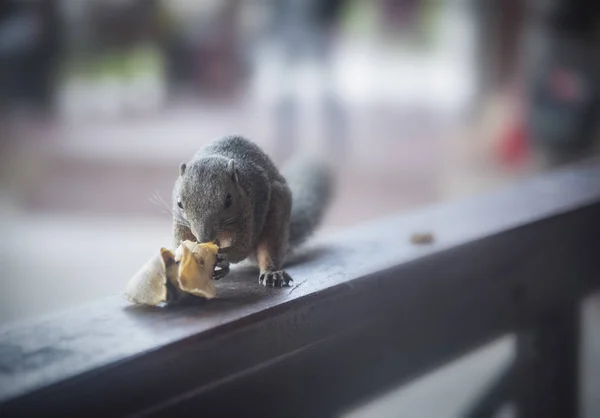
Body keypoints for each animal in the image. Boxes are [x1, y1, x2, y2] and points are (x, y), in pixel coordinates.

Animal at [172, 136, 332, 286]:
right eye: (179, 203)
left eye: (228, 200)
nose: (204, 238)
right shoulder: (181, 223)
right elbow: (179, 242)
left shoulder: (249, 213)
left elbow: (243, 247)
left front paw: (224, 255)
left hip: (277, 213)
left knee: (269, 248)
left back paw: (271, 272)